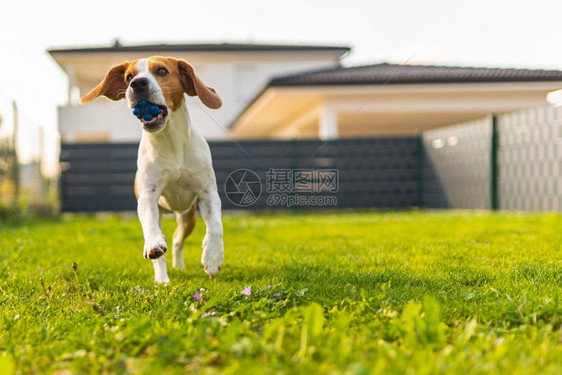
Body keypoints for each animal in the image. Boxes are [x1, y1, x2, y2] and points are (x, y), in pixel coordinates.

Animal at [80, 57, 223, 284]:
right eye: (128, 77)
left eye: (162, 71)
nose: (137, 84)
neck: (170, 142)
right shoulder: (148, 195)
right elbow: (149, 226)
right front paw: (154, 245)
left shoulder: (208, 193)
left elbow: (216, 225)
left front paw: (213, 257)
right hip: (161, 214)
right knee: (162, 244)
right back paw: (162, 278)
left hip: (188, 217)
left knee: (177, 239)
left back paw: (179, 265)